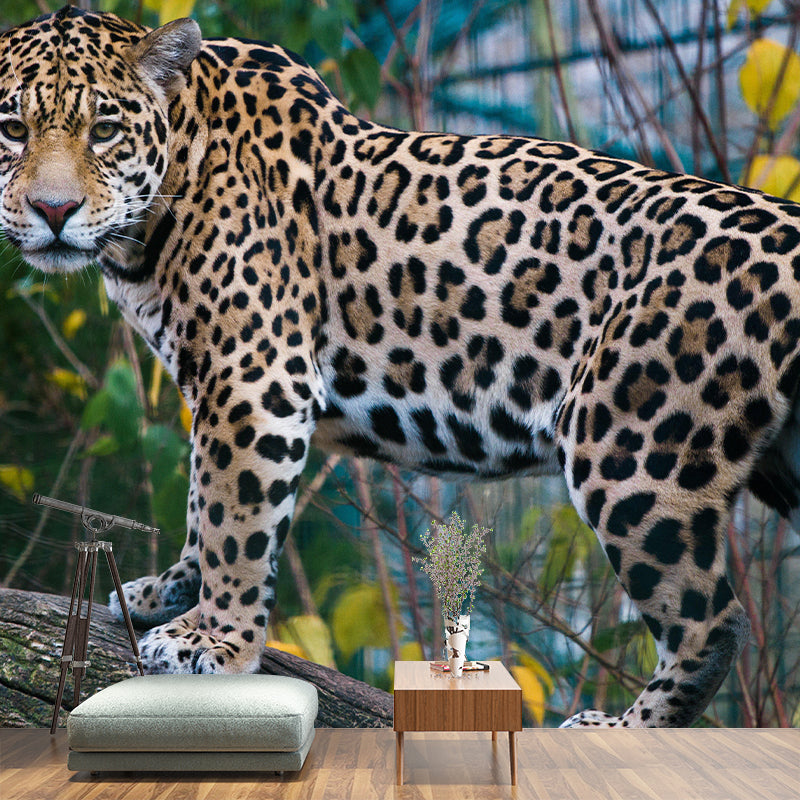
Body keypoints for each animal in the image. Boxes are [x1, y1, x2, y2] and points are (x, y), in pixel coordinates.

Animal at [3, 5, 800, 728]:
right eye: (12, 130)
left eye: (104, 131)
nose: (53, 210)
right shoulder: (218, 385)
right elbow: (206, 508)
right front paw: (167, 593)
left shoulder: (253, 376)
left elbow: (234, 516)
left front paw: (214, 642)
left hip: (631, 451)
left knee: (712, 624)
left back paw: (620, 732)